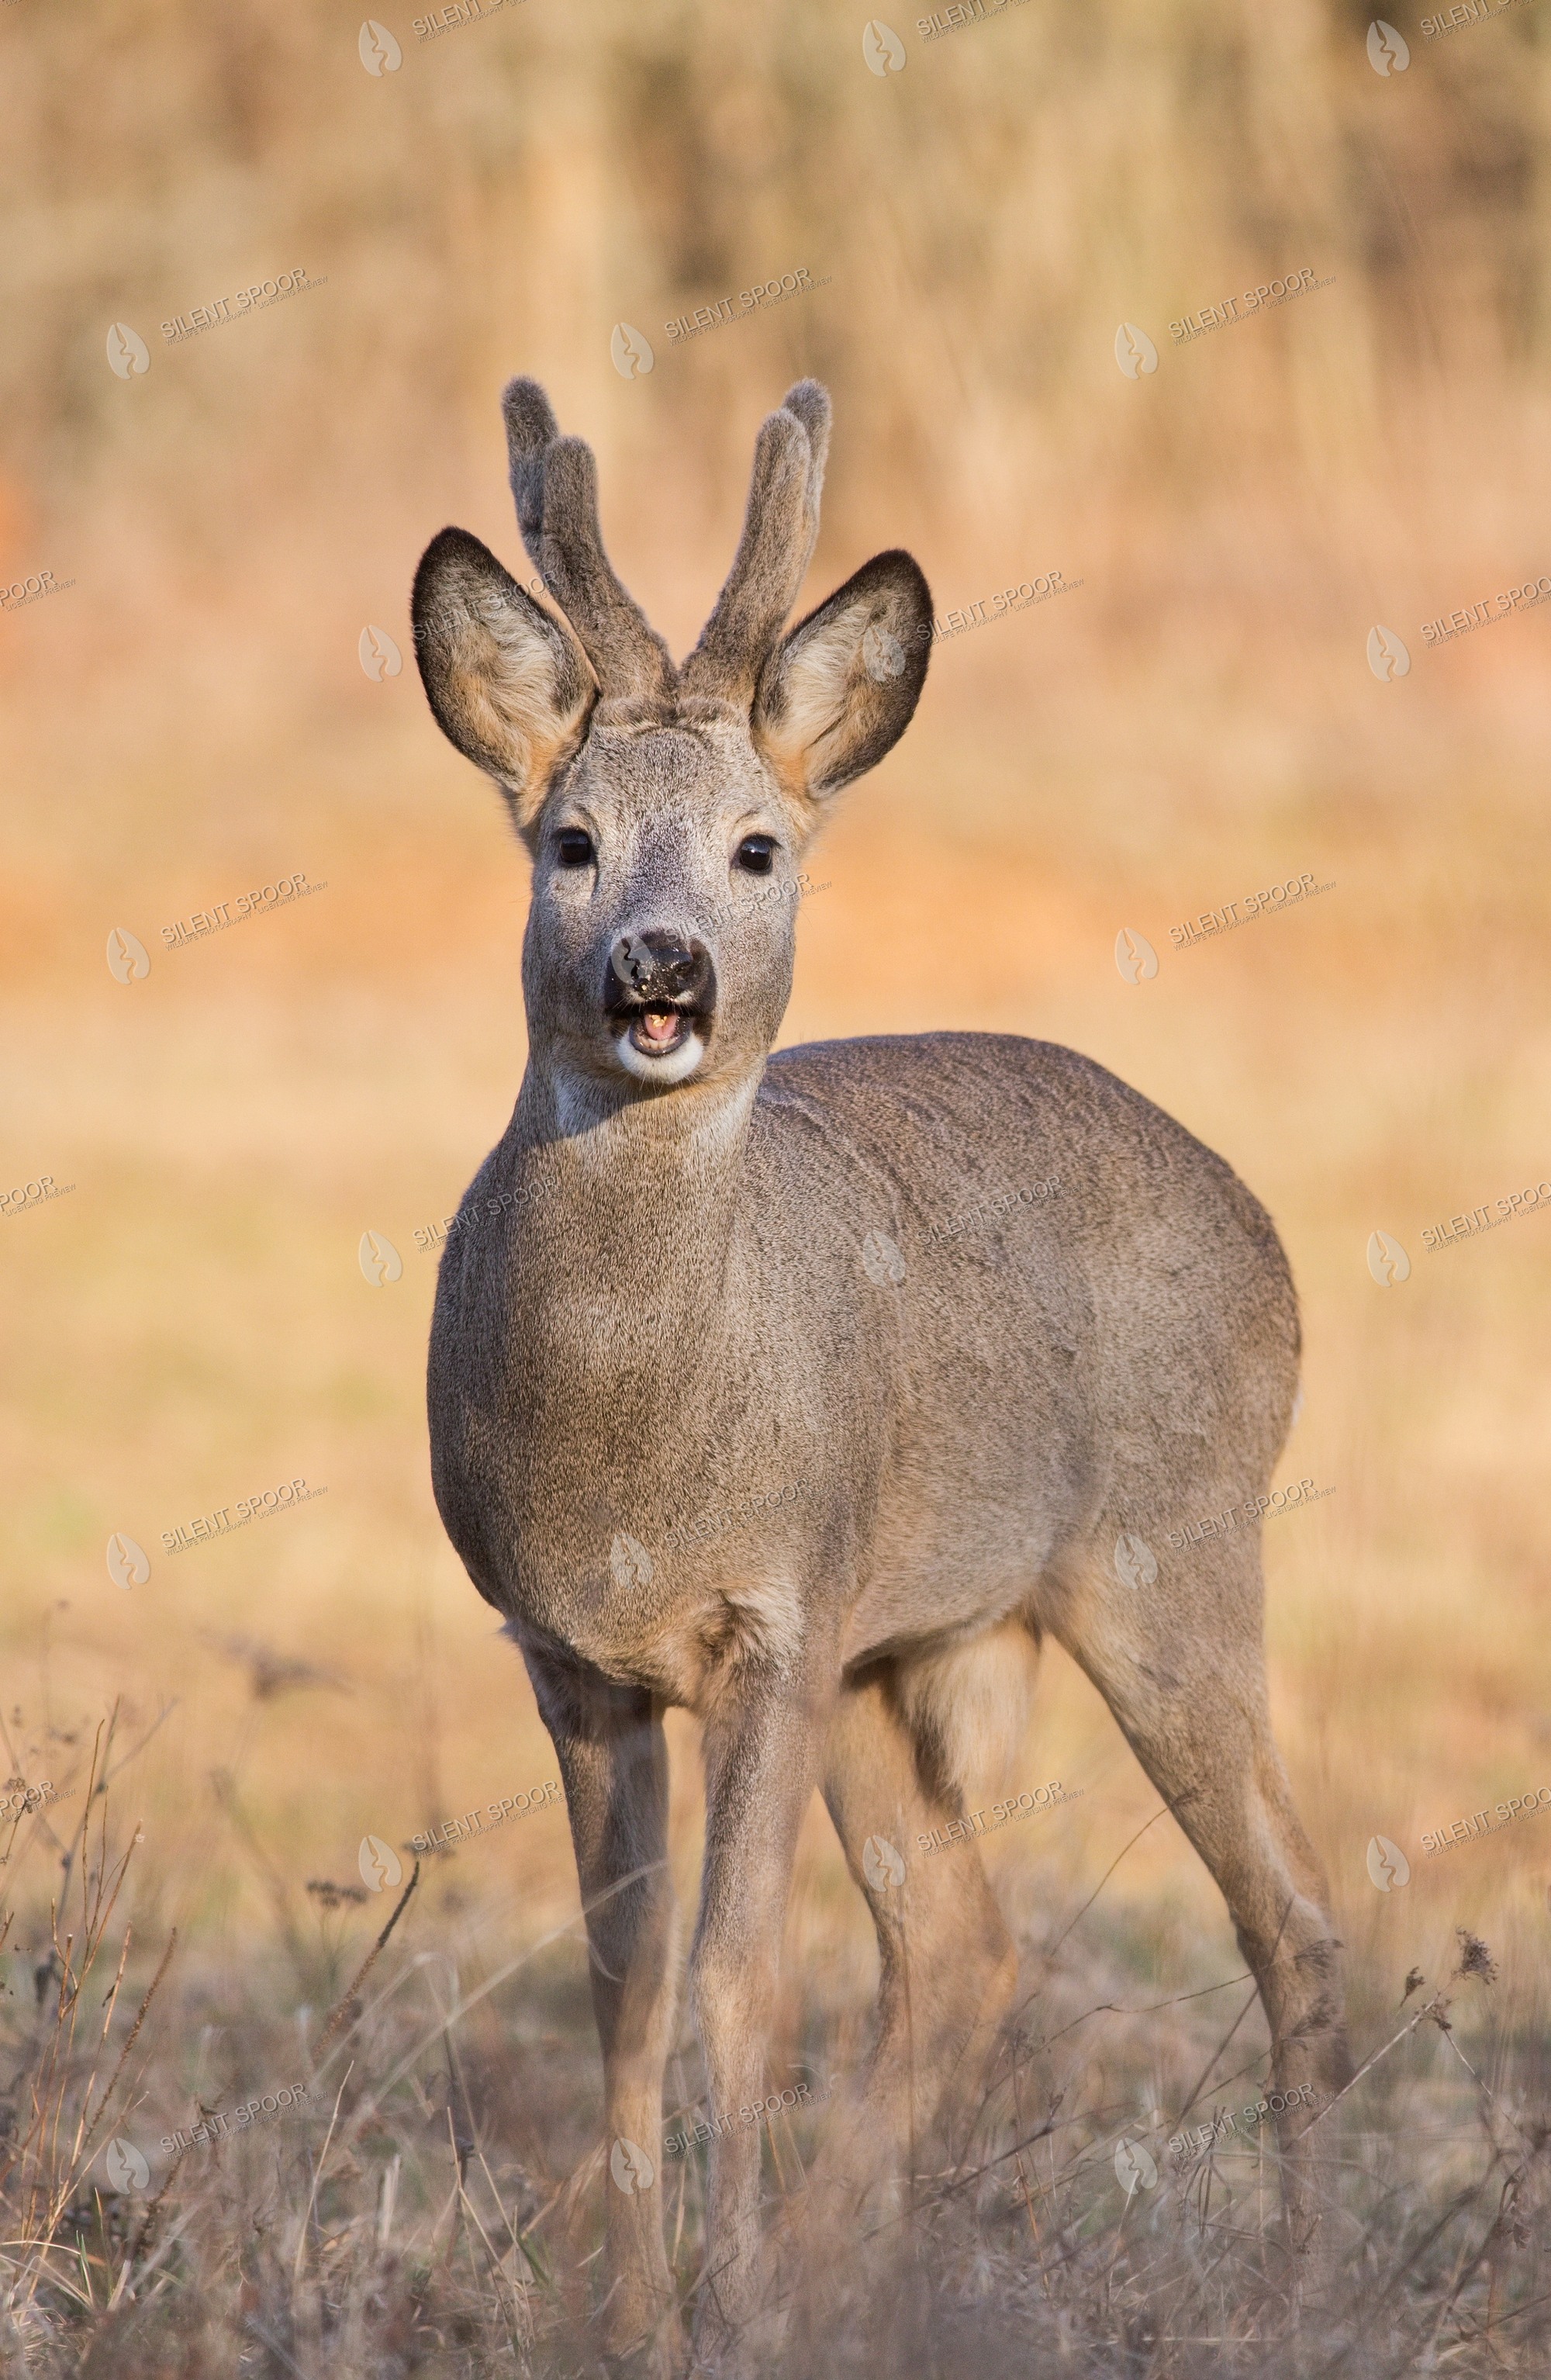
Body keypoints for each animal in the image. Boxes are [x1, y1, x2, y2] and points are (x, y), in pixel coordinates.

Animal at [411, 373, 1351, 2371]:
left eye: (758, 846)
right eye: (567, 841)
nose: (660, 971)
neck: (634, 1466)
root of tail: (1252, 1213)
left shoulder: (775, 1611)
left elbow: (737, 1988)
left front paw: (727, 2302)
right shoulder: (572, 1654)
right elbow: (622, 1993)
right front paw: (640, 2318)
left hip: (1165, 1546)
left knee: (1292, 1920)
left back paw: (1294, 2295)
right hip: (904, 1644)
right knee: (965, 1943)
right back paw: (869, 2271)